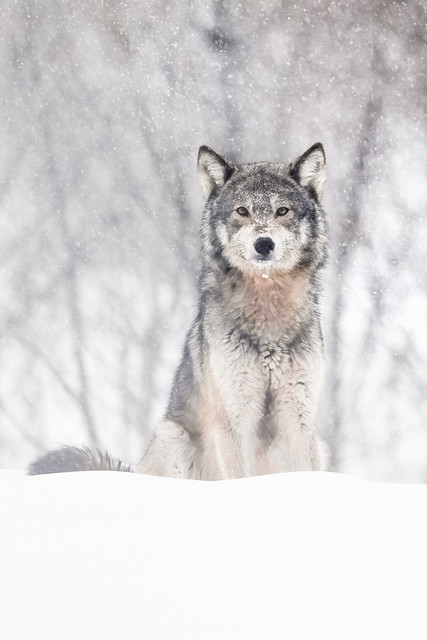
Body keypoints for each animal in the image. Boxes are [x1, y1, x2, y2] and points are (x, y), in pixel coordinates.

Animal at [28, 142, 328, 479]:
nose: (264, 244)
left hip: (319, 444)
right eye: (242, 211)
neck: (268, 314)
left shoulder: (300, 418)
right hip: (174, 437)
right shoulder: (234, 418)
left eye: (282, 211)